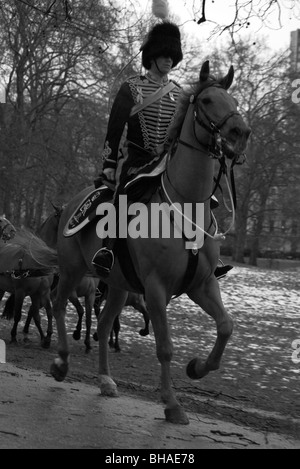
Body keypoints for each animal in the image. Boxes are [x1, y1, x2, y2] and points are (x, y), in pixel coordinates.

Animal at [48, 62, 250, 424]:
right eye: (208, 100)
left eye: (234, 99)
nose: (241, 132)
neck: (186, 205)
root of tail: (74, 201)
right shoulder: (156, 289)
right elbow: (165, 347)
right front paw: (172, 403)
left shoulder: (202, 284)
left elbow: (226, 326)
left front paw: (197, 367)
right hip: (72, 269)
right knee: (58, 305)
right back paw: (61, 362)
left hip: (118, 284)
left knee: (103, 322)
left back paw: (105, 380)